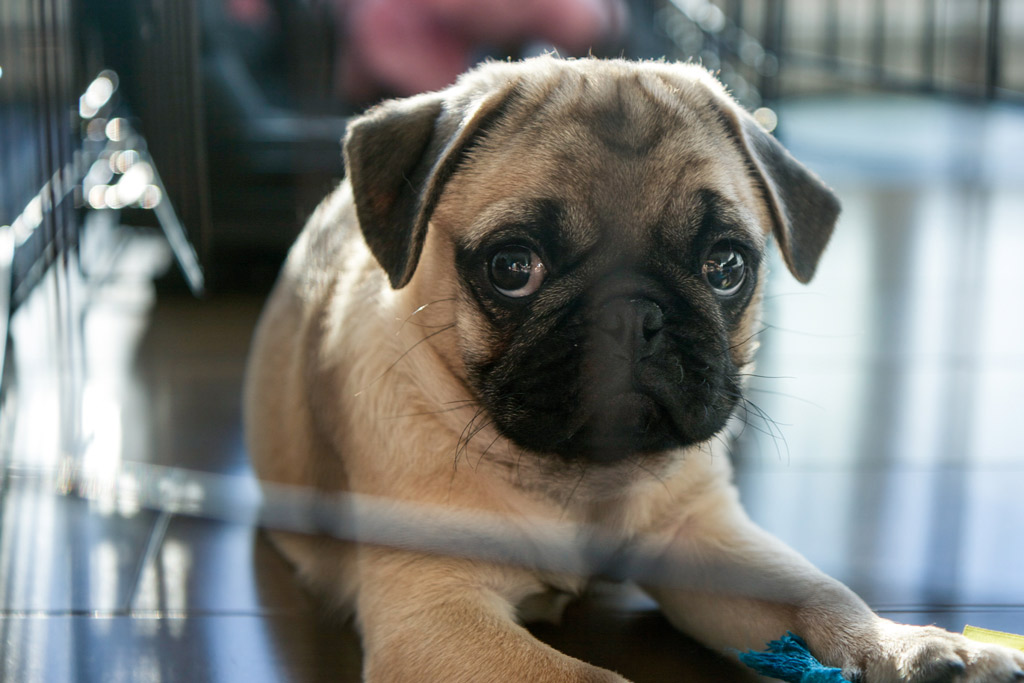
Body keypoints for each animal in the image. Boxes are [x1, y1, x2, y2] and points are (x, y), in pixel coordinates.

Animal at [243, 56, 1024, 679]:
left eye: (726, 266)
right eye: (512, 268)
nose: (632, 314)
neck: (583, 482)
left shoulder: (706, 541)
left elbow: (818, 592)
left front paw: (911, 646)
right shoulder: (434, 610)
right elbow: (590, 678)